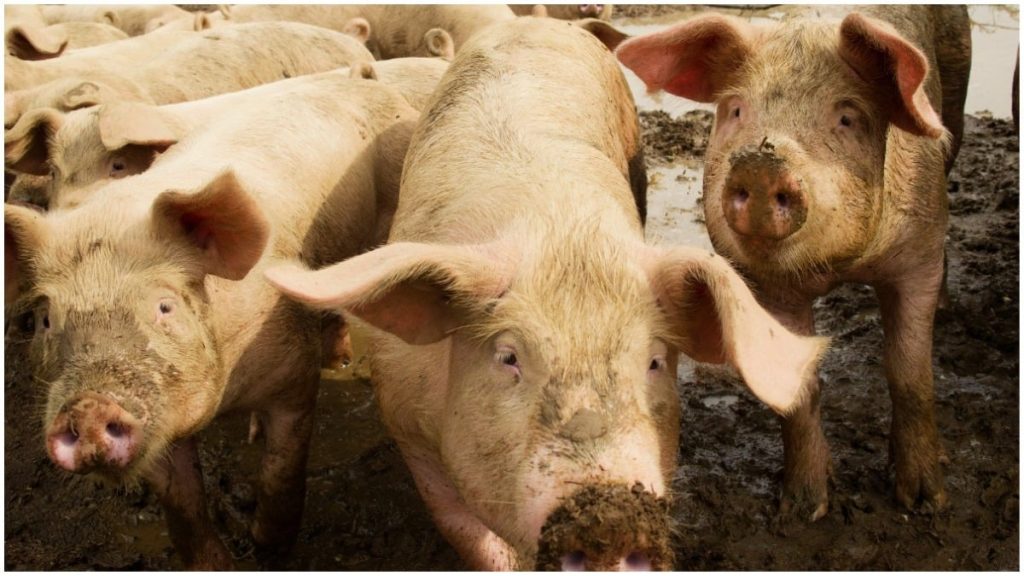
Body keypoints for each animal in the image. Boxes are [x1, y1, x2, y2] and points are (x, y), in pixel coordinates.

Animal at [4, 76, 419, 568]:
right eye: (46, 319)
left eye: (165, 307)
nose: (87, 409)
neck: (224, 395)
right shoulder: (160, 419)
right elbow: (183, 505)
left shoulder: (292, 376)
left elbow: (282, 471)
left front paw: (267, 548)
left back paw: (337, 361)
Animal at [265, 17, 827, 570]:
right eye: (508, 357)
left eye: (653, 362)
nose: (613, 522)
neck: (561, 240)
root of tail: (543, 21)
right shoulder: (409, 427)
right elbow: (475, 539)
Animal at [617, 5, 971, 519]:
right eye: (736, 110)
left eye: (847, 116)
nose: (760, 163)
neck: (839, 267)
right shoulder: (768, 287)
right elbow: (798, 385)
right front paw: (804, 508)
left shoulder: (917, 255)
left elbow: (909, 373)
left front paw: (927, 502)